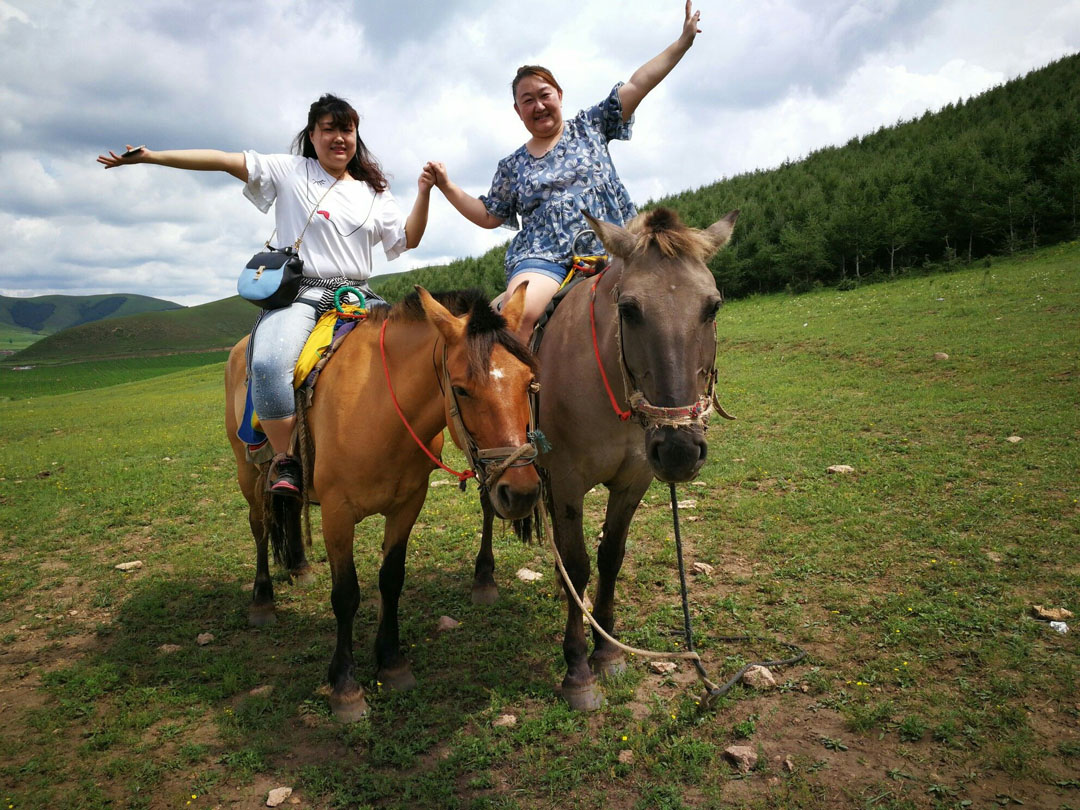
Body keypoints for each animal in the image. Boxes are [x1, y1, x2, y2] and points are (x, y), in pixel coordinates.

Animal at [222, 285, 540, 721]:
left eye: (529, 382)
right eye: (461, 388)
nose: (521, 491)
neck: (381, 410)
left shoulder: (408, 504)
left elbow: (391, 580)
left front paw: (391, 663)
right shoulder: (337, 514)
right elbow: (346, 595)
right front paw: (345, 686)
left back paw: (300, 568)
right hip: (248, 475)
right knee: (260, 528)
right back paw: (262, 601)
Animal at [475, 207, 738, 708]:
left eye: (712, 306)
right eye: (629, 309)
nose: (679, 450)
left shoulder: (634, 480)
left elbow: (611, 556)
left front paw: (608, 652)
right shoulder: (566, 482)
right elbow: (577, 565)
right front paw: (578, 669)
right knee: (487, 500)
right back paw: (484, 578)